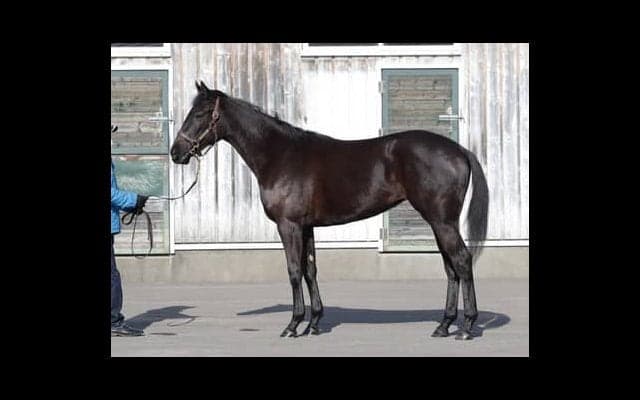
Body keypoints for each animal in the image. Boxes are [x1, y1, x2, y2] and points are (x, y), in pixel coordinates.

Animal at [170, 81, 489, 340]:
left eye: (199, 114)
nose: (176, 153)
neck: (279, 155)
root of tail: (460, 151)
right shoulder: (307, 227)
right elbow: (310, 270)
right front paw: (313, 323)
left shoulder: (289, 225)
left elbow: (294, 270)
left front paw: (293, 325)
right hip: (439, 222)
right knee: (450, 267)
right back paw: (444, 325)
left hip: (442, 221)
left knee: (461, 261)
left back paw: (466, 327)